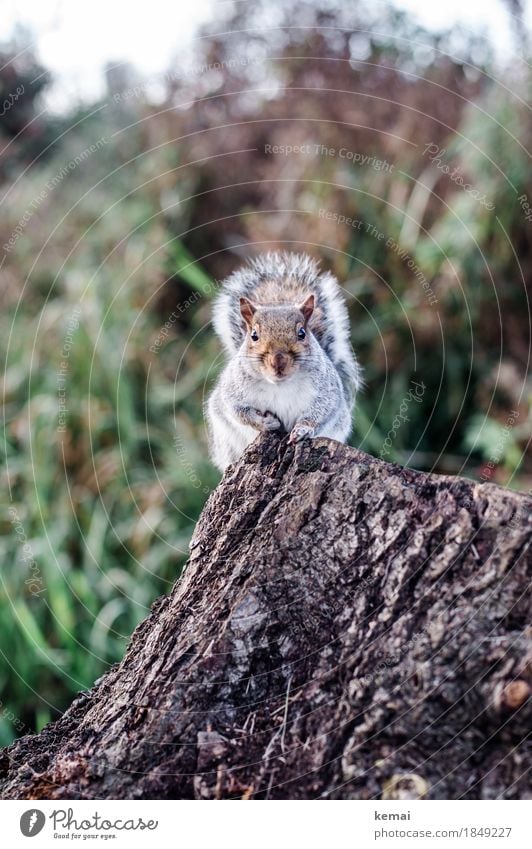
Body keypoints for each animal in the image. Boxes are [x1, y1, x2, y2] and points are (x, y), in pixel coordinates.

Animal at [206, 252, 360, 474]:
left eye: (302, 333)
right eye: (254, 335)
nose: (278, 362)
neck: (279, 385)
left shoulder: (327, 390)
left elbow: (322, 410)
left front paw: (302, 429)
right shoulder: (233, 390)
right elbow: (237, 410)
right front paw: (265, 422)